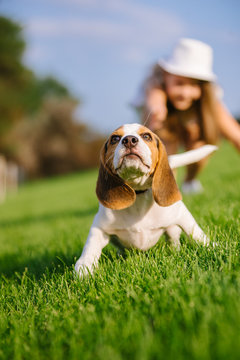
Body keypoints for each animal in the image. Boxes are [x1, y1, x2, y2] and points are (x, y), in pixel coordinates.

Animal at [75, 122, 218, 278]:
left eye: (146, 136)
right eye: (115, 138)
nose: (129, 140)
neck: (138, 195)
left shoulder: (181, 214)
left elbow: (197, 234)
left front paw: (213, 247)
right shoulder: (99, 227)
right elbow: (90, 248)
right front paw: (83, 269)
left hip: (172, 228)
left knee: (173, 239)